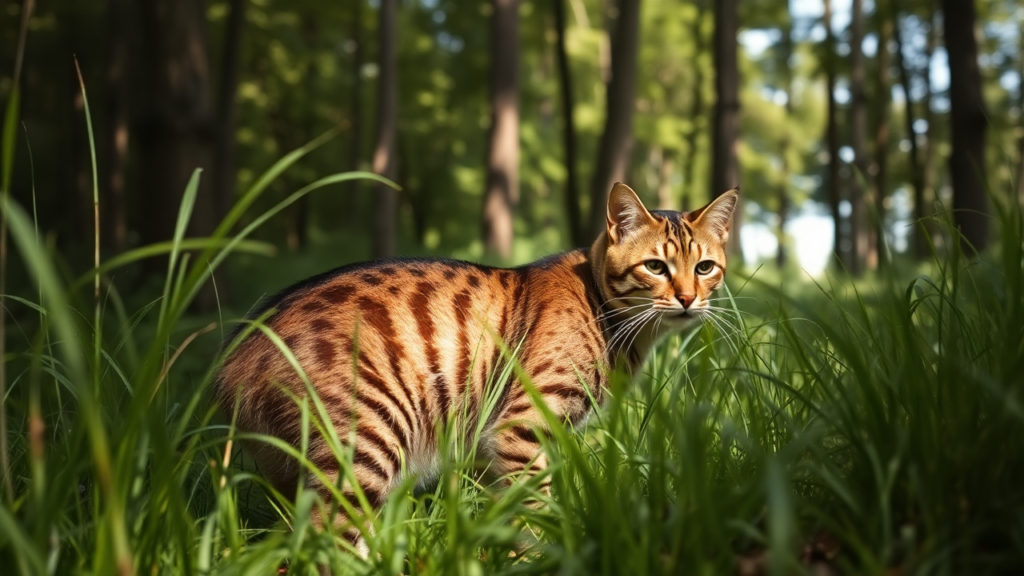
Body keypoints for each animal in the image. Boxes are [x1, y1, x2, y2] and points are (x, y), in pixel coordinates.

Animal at [216, 181, 737, 549]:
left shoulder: (491, 449)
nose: (688, 299)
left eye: (705, 268)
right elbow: (534, 511)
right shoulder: (521, 427)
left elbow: (500, 514)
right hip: (365, 444)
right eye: (655, 267)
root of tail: (238, 351)